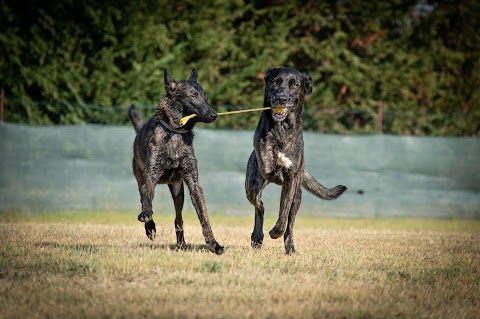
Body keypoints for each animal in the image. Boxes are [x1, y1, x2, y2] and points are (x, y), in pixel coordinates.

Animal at [127, 69, 225, 256]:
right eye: (193, 95)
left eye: (205, 95)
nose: (214, 115)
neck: (174, 133)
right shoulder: (150, 177)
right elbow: (147, 197)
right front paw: (147, 218)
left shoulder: (193, 183)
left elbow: (204, 218)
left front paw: (214, 244)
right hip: (140, 178)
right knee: (143, 197)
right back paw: (150, 227)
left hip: (178, 190)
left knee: (178, 219)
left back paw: (181, 243)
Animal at [246, 67, 346, 255]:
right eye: (275, 82)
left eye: (295, 85)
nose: (281, 98)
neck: (282, 128)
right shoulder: (264, 167)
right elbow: (269, 165)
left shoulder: (291, 181)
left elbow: (283, 215)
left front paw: (275, 232)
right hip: (252, 186)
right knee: (259, 206)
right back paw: (257, 236)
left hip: (297, 198)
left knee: (289, 224)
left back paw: (290, 248)